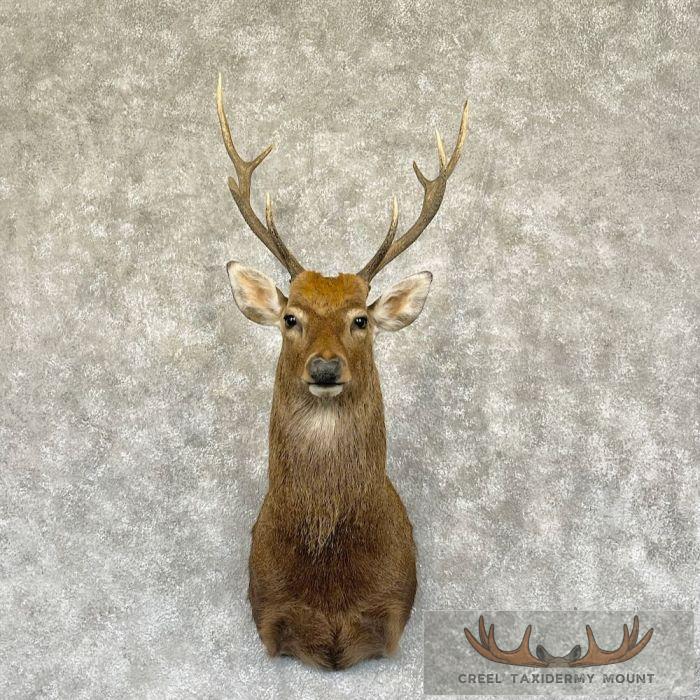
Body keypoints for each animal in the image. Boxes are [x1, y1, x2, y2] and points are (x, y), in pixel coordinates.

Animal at [216, 75, 468, 670]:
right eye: (291, 317)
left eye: (361, 319)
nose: (327, 366)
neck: (330, 584)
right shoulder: (269, 609)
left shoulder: (392, 609)